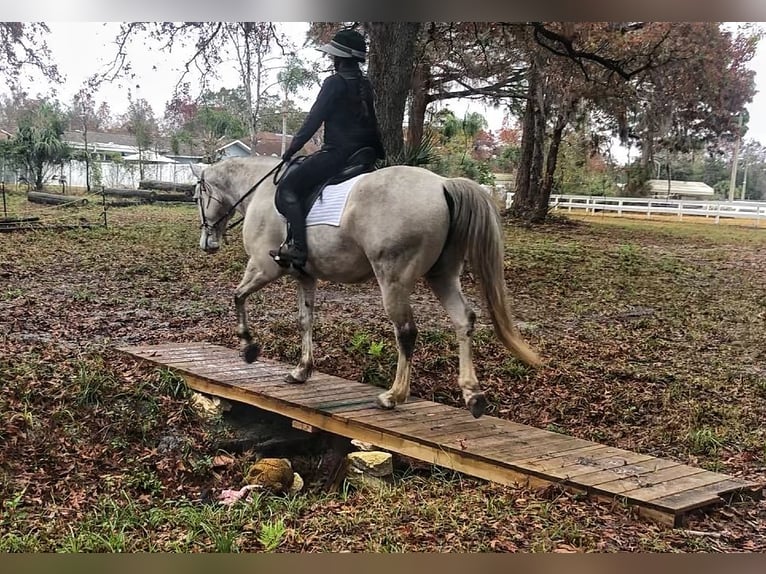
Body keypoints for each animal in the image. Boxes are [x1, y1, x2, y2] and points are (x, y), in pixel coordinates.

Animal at [195, 155, 544, 420]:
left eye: (197, 196)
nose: (207, 243)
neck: (261, 189)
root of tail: (443, 184)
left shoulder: (263, 268)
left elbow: (238, 296)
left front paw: (248, 347)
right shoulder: (304, 277)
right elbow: (305, 321)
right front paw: (301, 370)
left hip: (393, 278)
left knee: (406, 331)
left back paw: (393, 396)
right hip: (442, 276)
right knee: (464, 320)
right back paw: (472, 395)